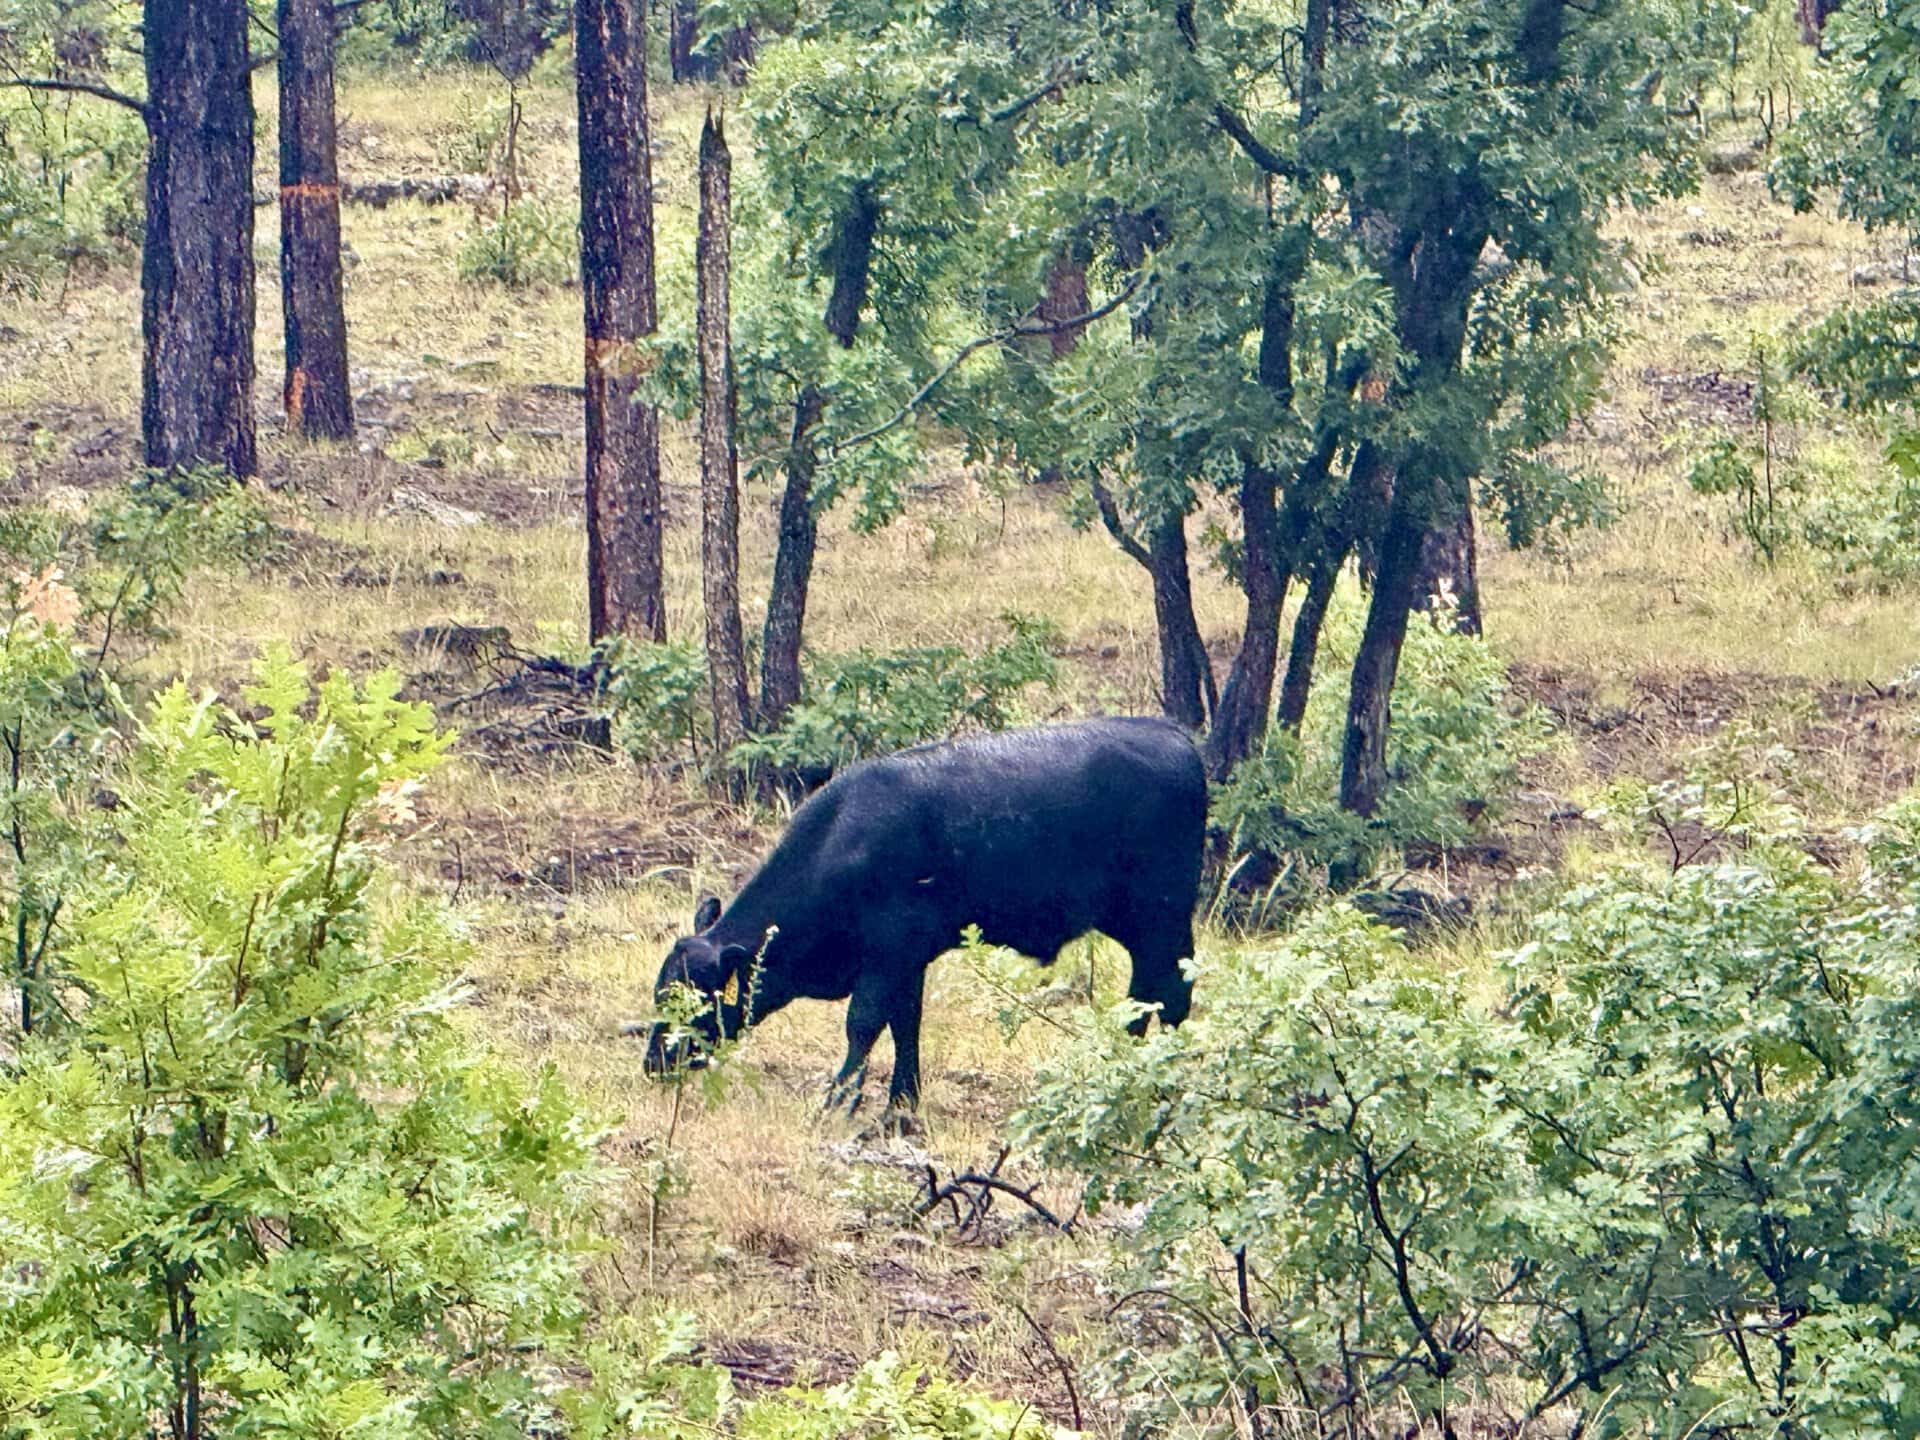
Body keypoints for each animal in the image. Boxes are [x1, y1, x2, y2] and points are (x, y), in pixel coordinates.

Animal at [636, 716, 1207, 1116]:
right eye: (659, 992)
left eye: (694, 1001)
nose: (654, 1062)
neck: (847, 840)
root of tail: (1170, 735)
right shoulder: (905, 961)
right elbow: (904, 1023)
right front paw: (902, 1103)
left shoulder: (890, 951)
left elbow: (864, 1023)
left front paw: (840, 1099)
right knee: (1147, 993)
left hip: (1161, 919)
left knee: (1171, 993)